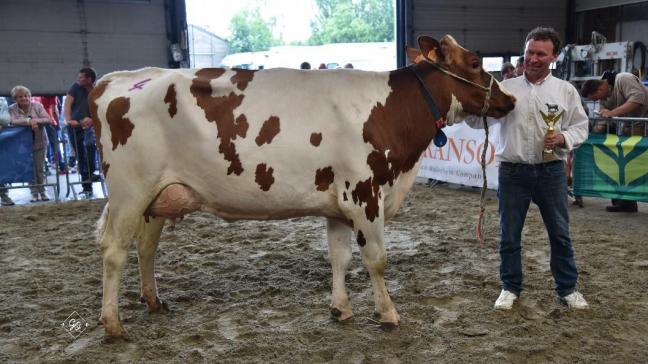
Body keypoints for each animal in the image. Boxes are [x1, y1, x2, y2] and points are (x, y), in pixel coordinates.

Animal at [92, 35, 516, 336]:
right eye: (476, 63)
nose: (511, 100)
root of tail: (116, 80)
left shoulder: (339, 204)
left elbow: (340, 257)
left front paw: (341, 309)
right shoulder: (365, 195)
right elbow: (376, 259)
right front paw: (388, 314)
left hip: (157, 197)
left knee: (146, 247)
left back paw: (153, 301)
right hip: (130, 192)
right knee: (114, 251)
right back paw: (113, 324)